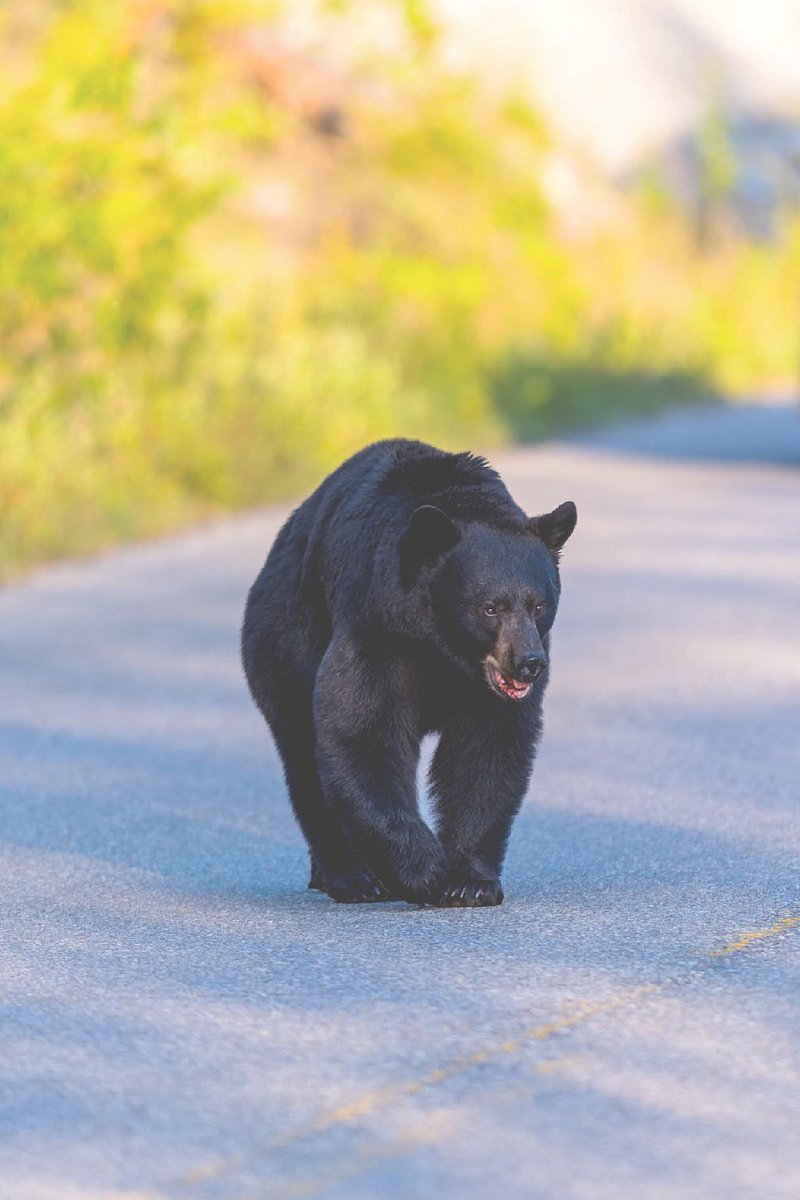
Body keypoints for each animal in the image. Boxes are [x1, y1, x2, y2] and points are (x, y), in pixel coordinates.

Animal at [241, 436, 578, 902]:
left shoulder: (484, 690)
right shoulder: (377, 631)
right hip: (284, 642)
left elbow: (489, 748)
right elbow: (363, 730)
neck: (439, 644)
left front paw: (471, 881)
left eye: (539, 605)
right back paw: (350, 876)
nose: (529, 664)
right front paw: (426, 869)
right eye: (489, 607)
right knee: (304, 756)